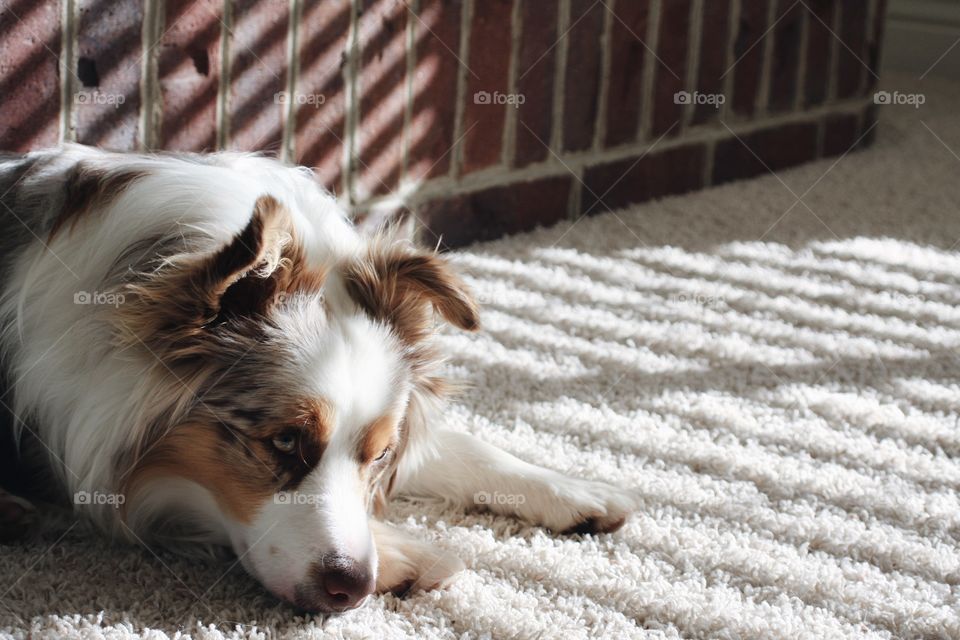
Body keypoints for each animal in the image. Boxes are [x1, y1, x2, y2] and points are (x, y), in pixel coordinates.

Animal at [0, 146, 636, 616]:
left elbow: (459, 446)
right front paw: (407, 555)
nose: (352, 588)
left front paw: (572, 488)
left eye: (378, 455)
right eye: (283, 440)